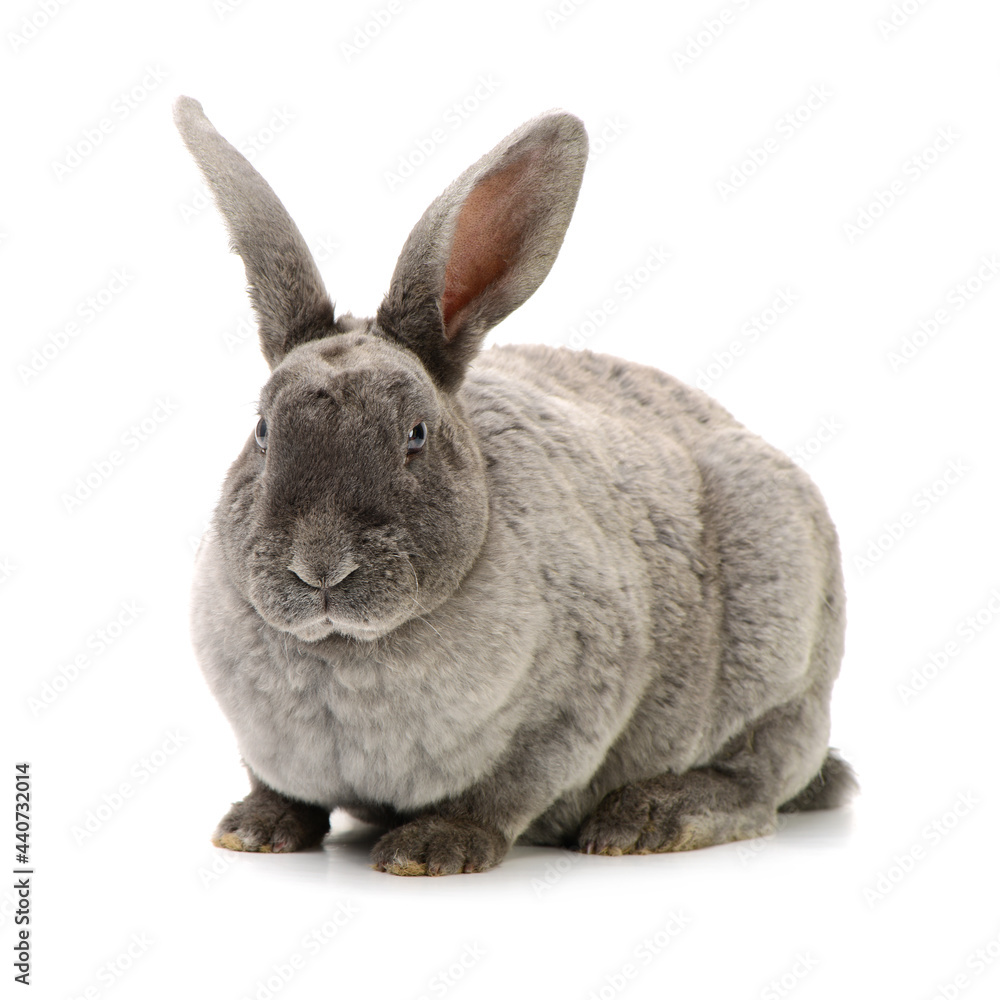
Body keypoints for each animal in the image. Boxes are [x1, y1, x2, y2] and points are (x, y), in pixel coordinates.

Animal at [174, 95, 856, 876]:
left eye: (416, 434)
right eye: (262, 430)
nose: (320, 568)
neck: (342, 651)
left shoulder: (569, 714)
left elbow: (501, 795)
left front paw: (429, 849)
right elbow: (283, 791)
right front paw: (253, 829)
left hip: (782, 669)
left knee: (758, 781)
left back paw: (648, 819)